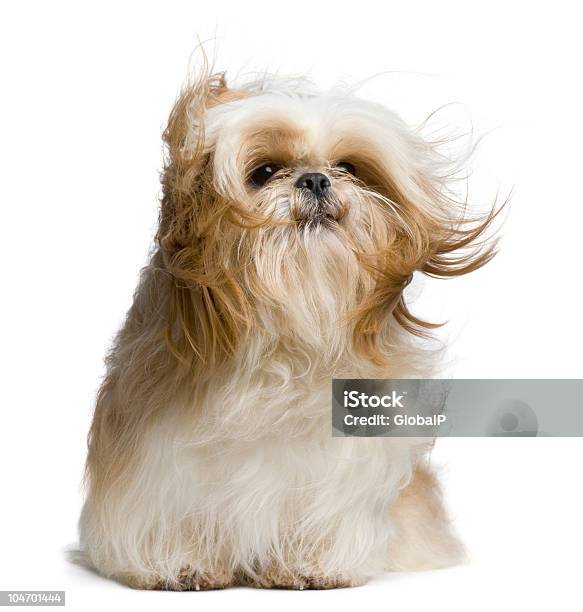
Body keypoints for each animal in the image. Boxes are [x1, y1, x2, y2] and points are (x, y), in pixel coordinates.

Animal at [78, 69, 498, 592]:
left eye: (347, 167)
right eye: (263, 172)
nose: (315, 179)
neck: (288, 335)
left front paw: (310, 565)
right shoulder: (156, 456)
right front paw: (184, 563)